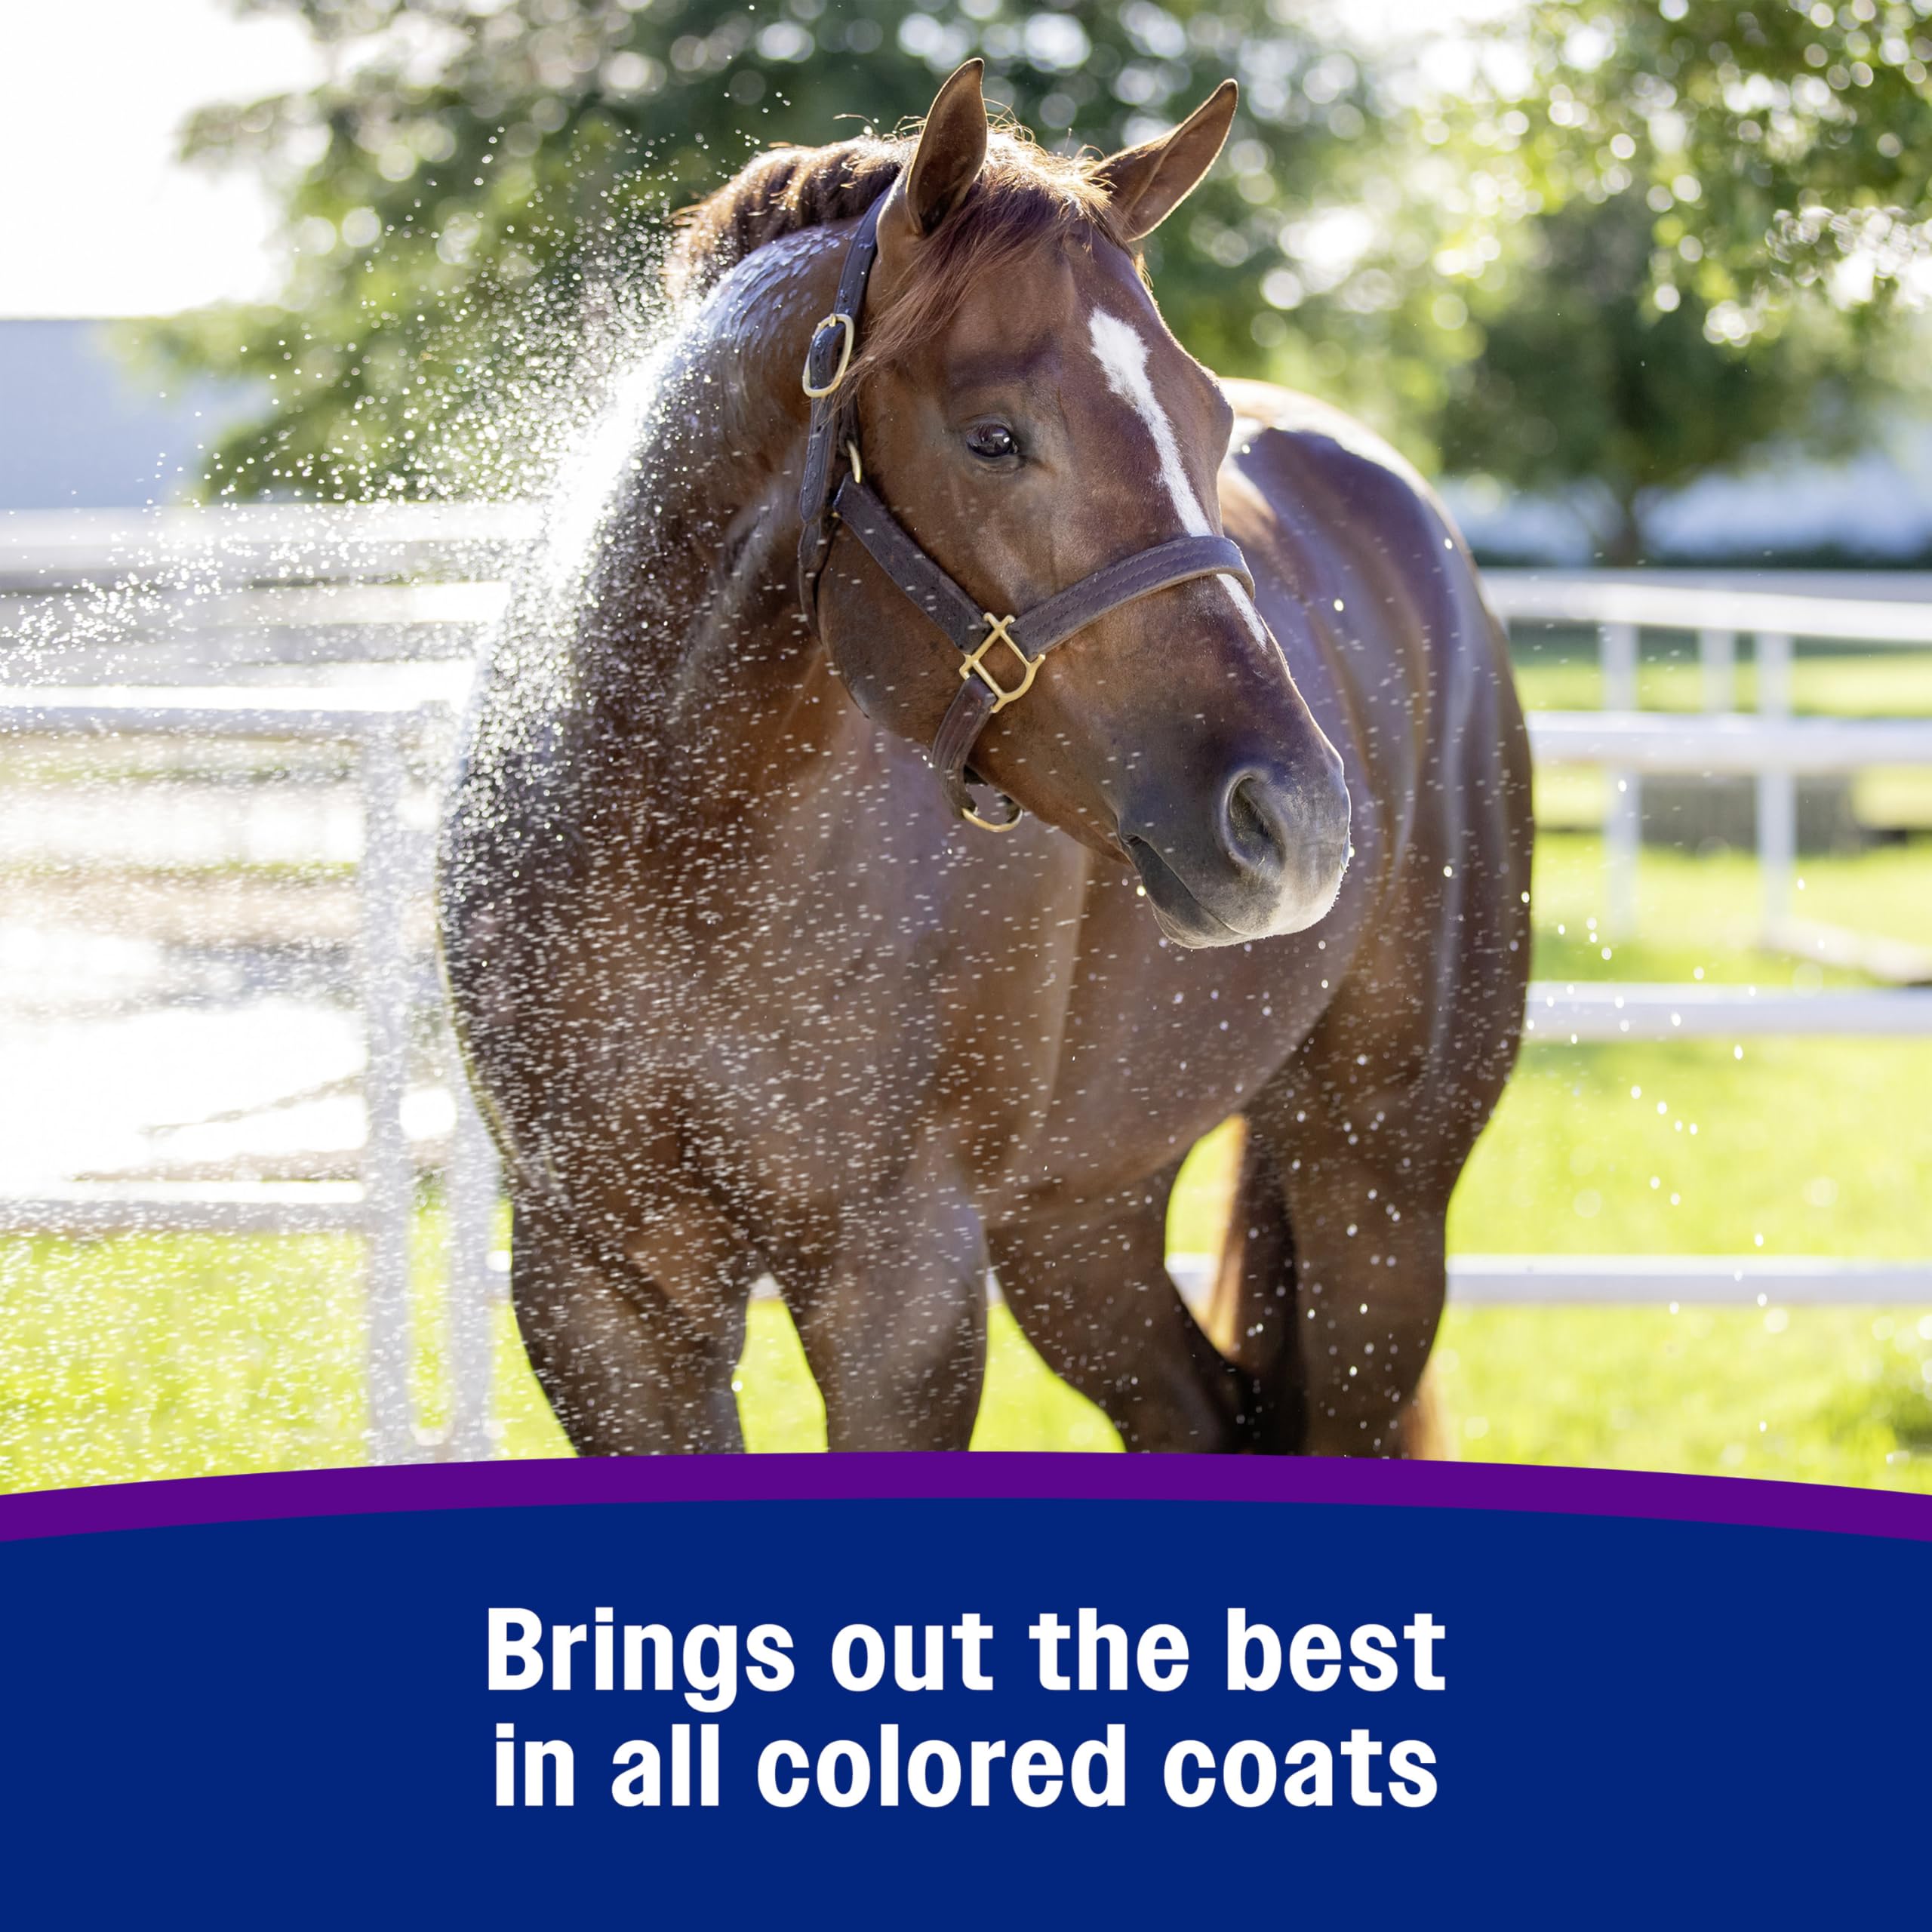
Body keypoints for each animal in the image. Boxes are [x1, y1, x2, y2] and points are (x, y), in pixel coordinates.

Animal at [438, 60, 1532, 1458]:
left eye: (1210, 417)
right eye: (994, 436)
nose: (1296, 822)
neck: (678, 844)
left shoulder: (900, 1287)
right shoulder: (602, 1292)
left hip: (1377, 1193)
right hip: (1081, 1220)